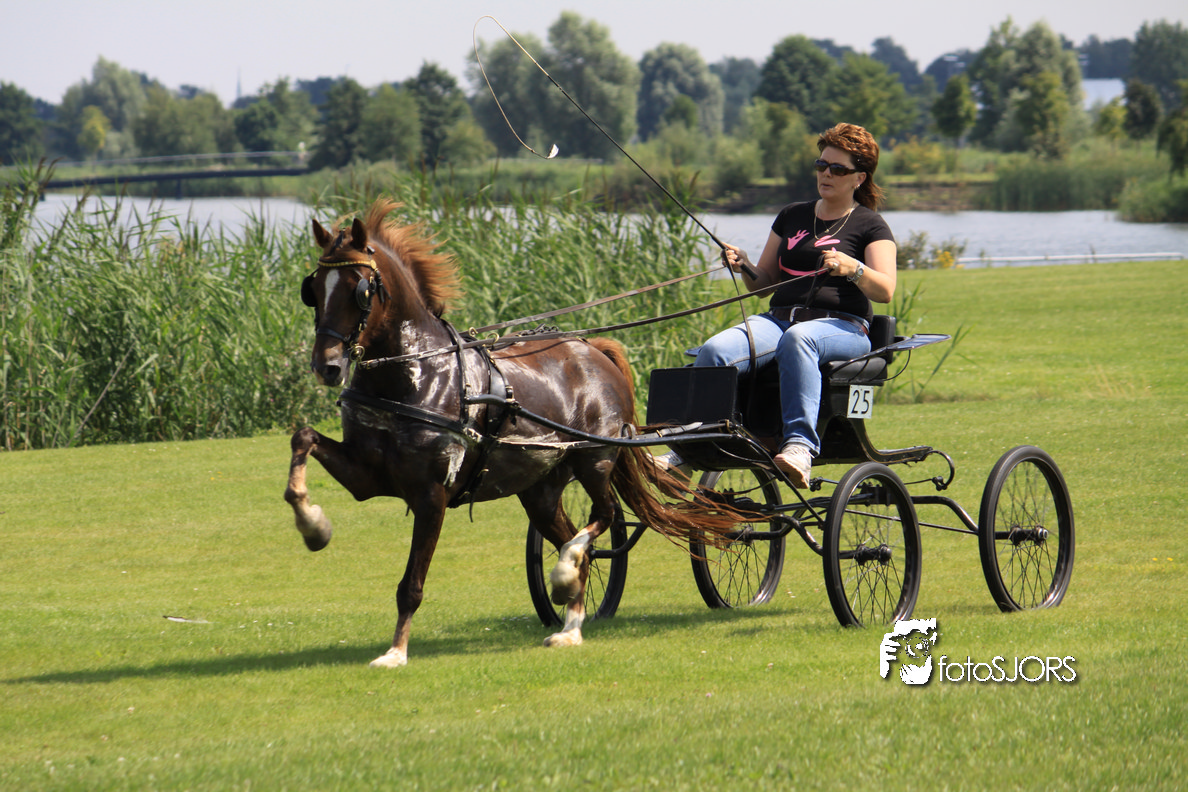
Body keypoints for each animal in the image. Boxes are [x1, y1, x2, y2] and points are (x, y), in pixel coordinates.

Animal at [284, 198, 741, 667]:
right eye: (313, 287)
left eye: (360, 289)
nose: (327, 366)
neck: (417, 373)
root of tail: (594, 351)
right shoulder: (366, 476)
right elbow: (303, 438)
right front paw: (313, 526)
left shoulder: (431, 494)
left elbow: (411, 583)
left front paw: (395, 652)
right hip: (541, 489)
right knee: (578, 540)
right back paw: (570, 625)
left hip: (593, 459)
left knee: (603, 518)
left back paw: (563, 577)